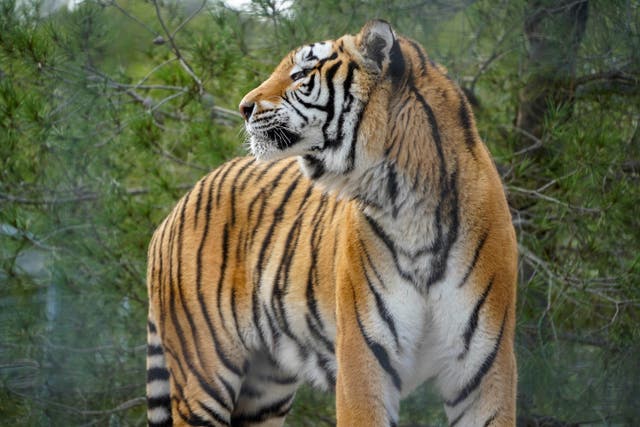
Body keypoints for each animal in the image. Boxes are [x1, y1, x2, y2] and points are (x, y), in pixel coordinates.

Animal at [146, 19, 517, 427]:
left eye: (300, 74)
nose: (243, 107)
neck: (408, 205)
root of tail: (175, 208)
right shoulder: (364, 356)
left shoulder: (483, 366)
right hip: (203, 372)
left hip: (265, 388)